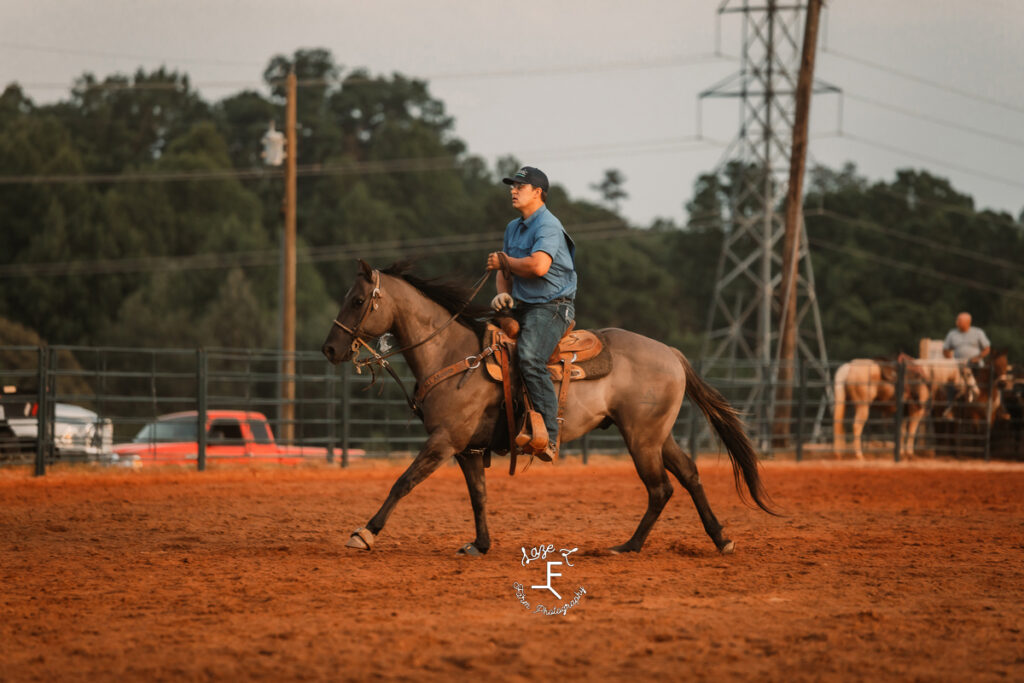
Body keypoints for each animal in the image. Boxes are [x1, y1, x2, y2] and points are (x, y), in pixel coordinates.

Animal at [831, 352, 974, 458]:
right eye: (968, 374)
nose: (974, 389)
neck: (927, 374)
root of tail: (848, 367)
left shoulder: (905, 411)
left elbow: (902, 430)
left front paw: (901, 452)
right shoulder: (916, 410)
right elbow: (912, 430)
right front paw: (909, 453)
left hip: (845, 402)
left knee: (840, 423)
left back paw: (839, 453)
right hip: (863, 405)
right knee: (856, 426)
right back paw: (859, 454)